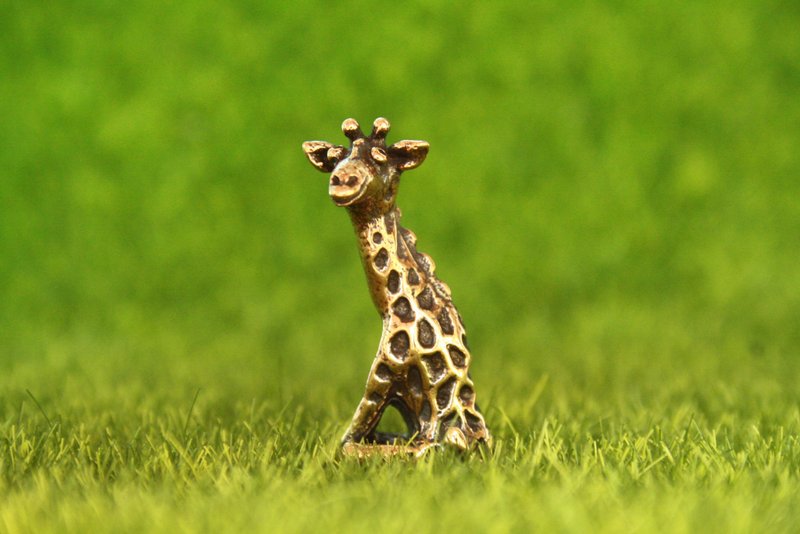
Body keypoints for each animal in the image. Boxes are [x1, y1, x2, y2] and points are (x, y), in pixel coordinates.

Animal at [302, 117, 491, 457]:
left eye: (380, 157)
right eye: (335, 158)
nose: (342, 180)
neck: (390, 308)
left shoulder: (384, 374)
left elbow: (350, 443)